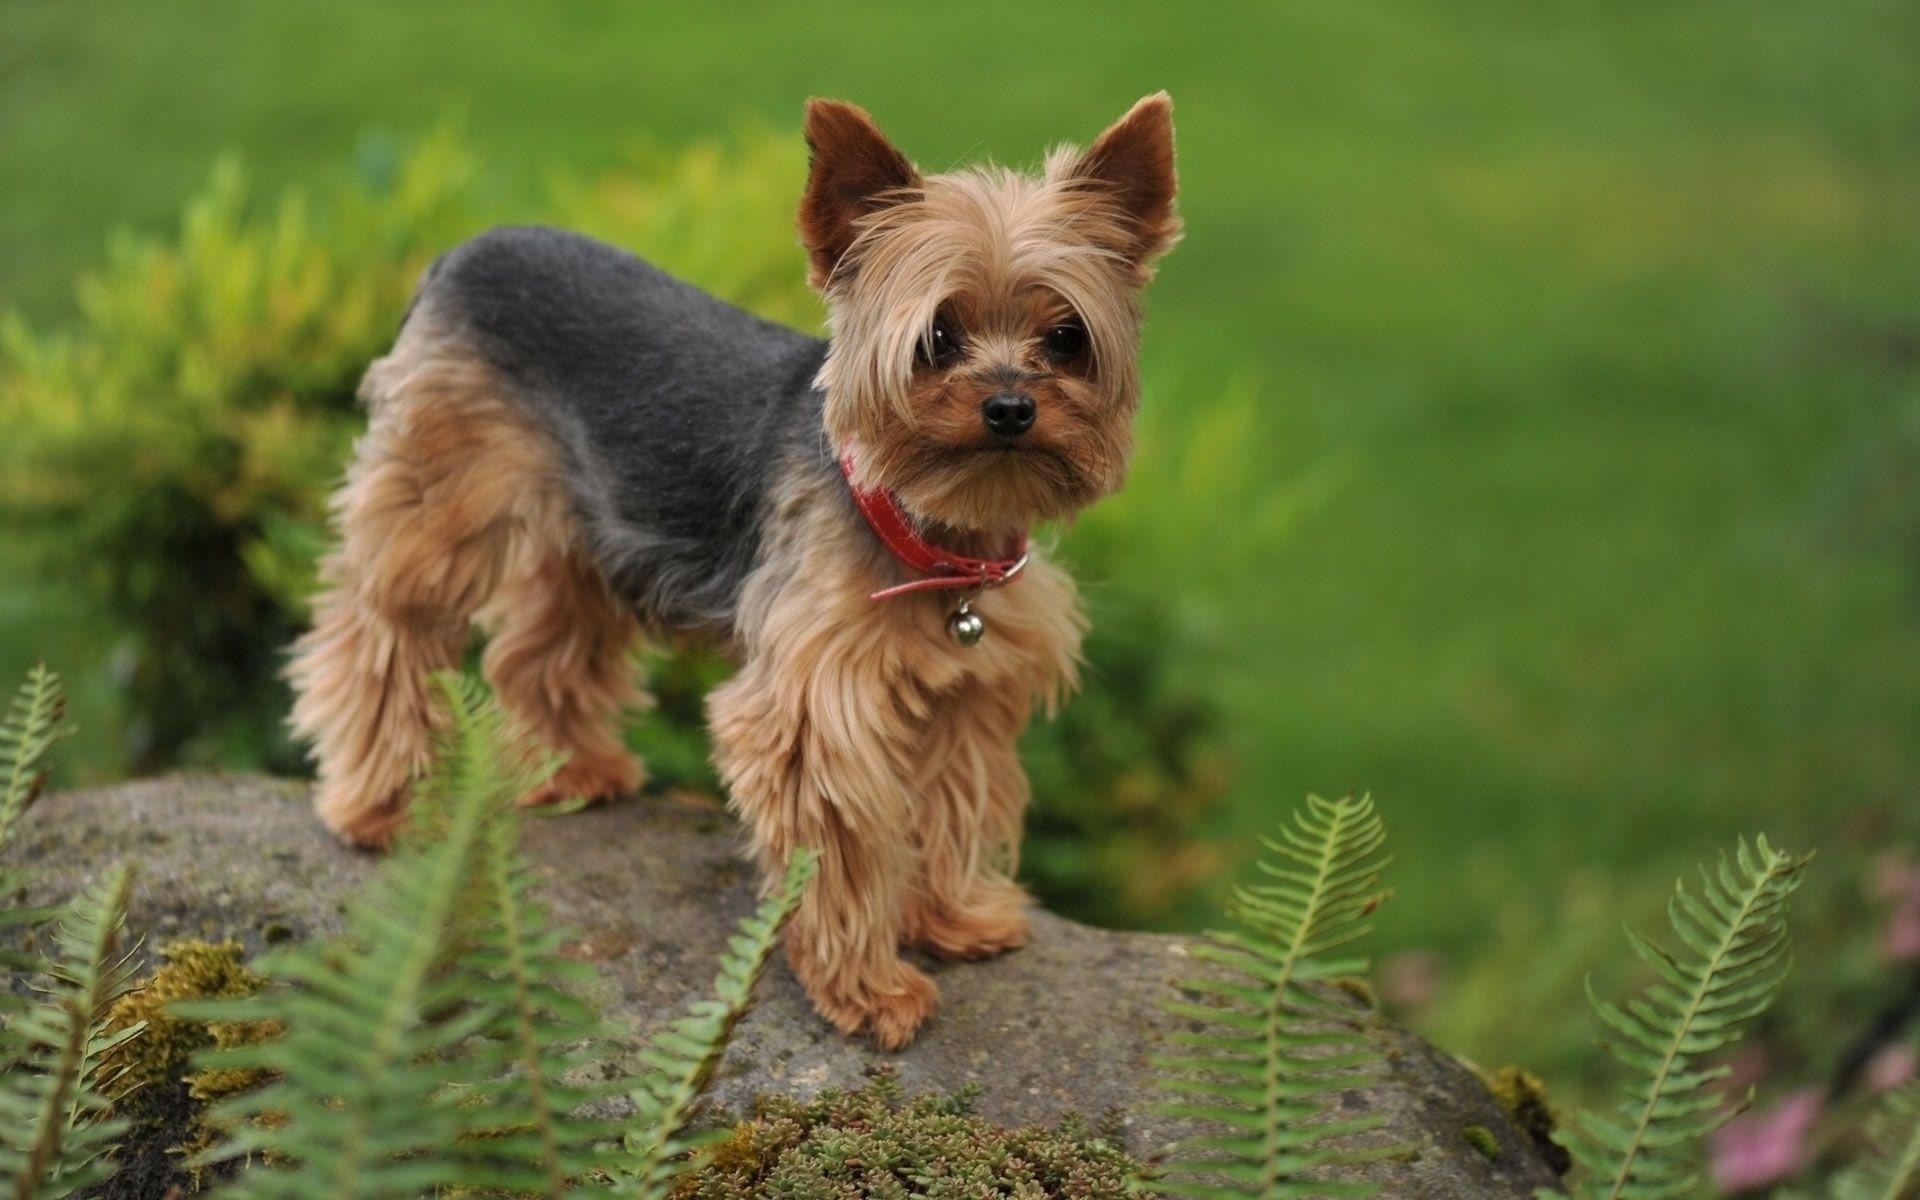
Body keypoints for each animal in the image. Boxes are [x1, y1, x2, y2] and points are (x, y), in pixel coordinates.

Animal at [286, 96, 1175, 1044]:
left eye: (1066, 337)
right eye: (937, 336)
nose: (1010, 406)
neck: (932, 529)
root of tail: (460, 251)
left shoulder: (971, 690)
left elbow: (952, 802)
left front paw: (951, 918)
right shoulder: (817, 707)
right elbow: (841, 847)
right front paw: (870, 989)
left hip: (591, 516)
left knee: (543, 635)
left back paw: (573, 772)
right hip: (443, 495)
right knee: (382, 623)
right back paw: (379, 805)